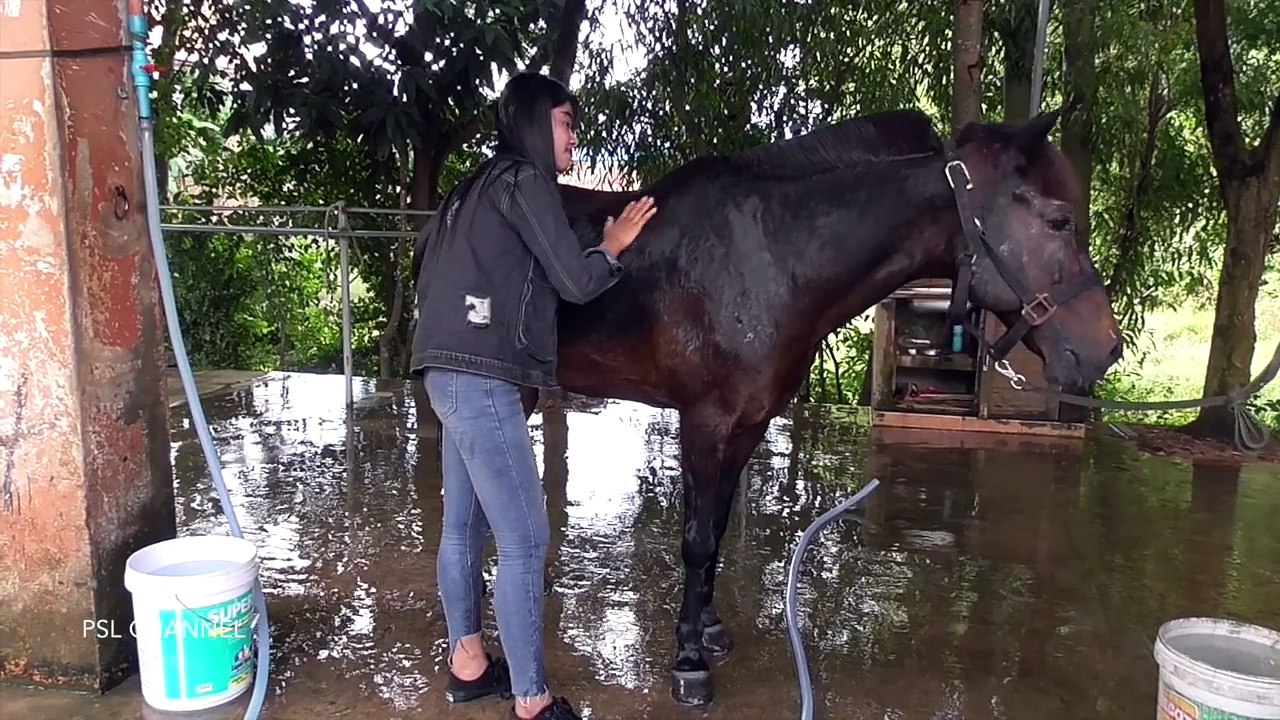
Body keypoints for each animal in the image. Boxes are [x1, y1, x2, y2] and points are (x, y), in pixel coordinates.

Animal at [430, 108, 1123, 707]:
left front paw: (707, 629)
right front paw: (689, 663)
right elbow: (695, 539)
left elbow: (715, 528)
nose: (1106, 350)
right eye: (1060, 221)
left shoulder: (747, 424)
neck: (773, 260)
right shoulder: (703, 422)